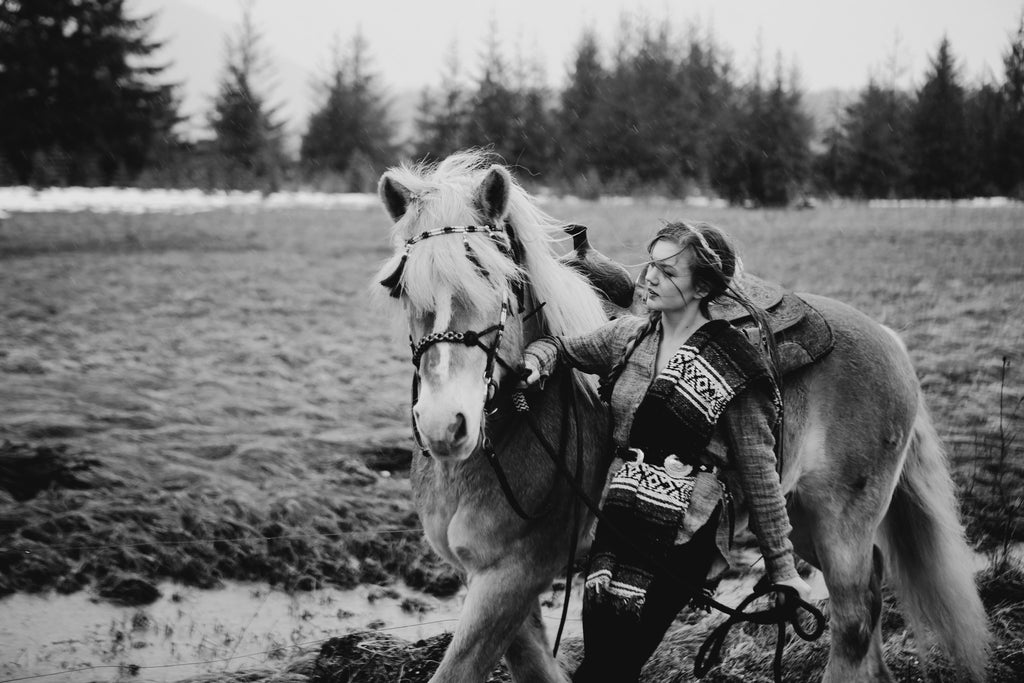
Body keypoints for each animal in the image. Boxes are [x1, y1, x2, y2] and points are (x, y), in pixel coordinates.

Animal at [372, 152, 987, 683]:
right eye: (399, 285)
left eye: (496, 278)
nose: (444, 424)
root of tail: (888, 337)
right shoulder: (491, 578)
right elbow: (533, 667)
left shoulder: (513, 575)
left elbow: (463, 670)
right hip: (803, 516)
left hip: (843, 526)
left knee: (854, 622)